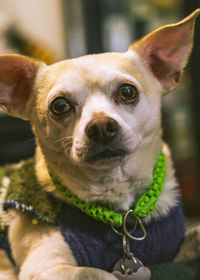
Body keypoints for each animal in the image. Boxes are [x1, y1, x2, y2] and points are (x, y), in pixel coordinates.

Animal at [0, 8, 200, 280]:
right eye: (59, 106)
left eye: (128, 92)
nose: (101, 126)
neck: (122, 213)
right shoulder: (45, 269)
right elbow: (98, 273)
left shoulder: (172, 248)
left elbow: (189, 242)